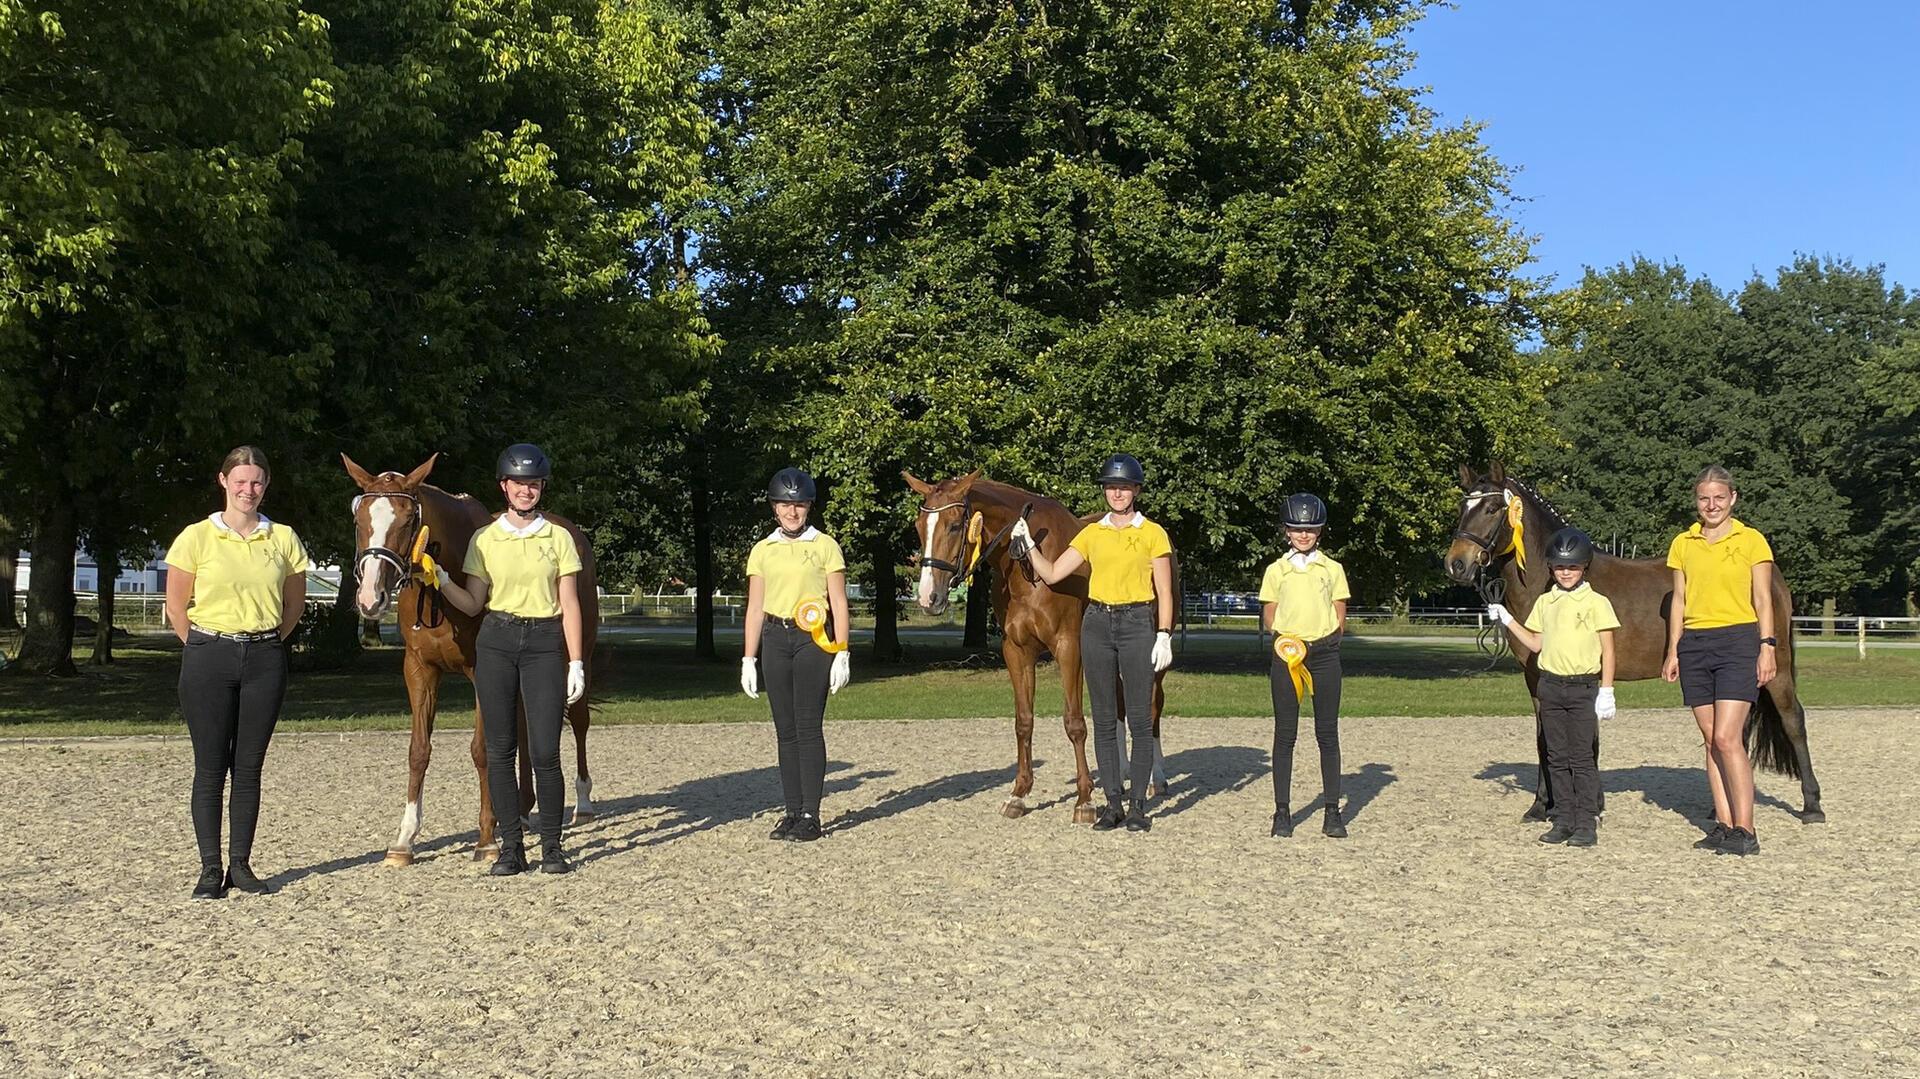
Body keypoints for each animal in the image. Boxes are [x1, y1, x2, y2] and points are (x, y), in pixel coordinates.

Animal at [343, 449, 599, 860]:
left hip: (577, 656)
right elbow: (419, 750)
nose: (370, 598)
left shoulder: (483, 672)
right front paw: (405, 839)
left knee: (577, 719)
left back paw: (584, 802)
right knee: (524, 728)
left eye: (408, 519)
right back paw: (523, 810)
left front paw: (488, 839)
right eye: (359, 519)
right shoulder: (419, 670)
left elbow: (483, 750)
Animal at [1443, 456, 1827, 817]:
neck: (1559, 582)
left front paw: (1589, 805)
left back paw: (1812, 806)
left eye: (1492, 508)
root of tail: (1769, 573)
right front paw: (1540, 807)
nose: (1456, 564)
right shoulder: (1536, 678)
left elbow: (1587, 741)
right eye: (1462, 508)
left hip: (1775, 667)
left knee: (1793, 720)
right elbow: (1544, 739)